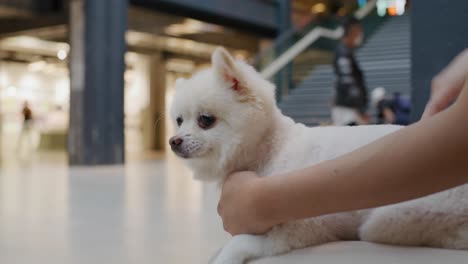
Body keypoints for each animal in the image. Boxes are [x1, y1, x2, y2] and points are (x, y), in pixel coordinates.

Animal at [168, 48, 468, 264]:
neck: (271, 152)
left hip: (386, 220)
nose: (173, 141)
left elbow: (240, 242)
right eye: (179, 121)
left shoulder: (297, 230)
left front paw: (226, 256)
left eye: (206, 120)